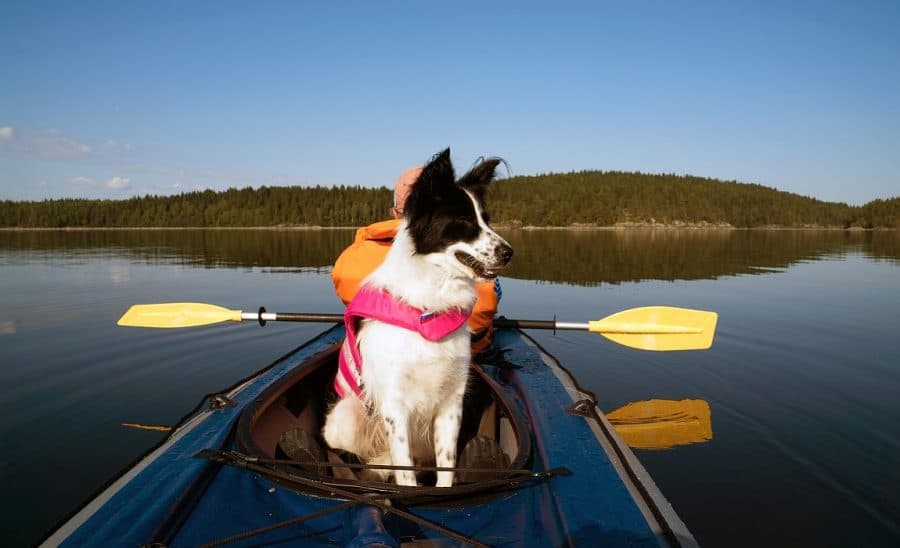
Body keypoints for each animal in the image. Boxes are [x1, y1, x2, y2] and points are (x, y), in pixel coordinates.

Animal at [324, 148, 510, 486]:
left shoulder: (452, 401)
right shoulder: (395, 406)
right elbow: (404, 470)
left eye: (485, 219)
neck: (428, 309)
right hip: (347, 414)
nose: (509, 252)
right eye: (463, 220)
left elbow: (446, 463)